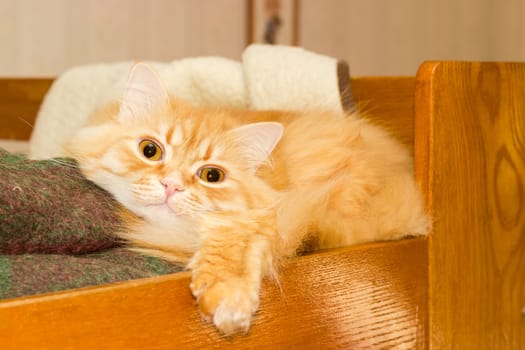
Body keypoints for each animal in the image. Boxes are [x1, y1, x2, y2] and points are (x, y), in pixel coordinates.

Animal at [63, 63, 428, 336]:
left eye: (211, 176)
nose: (172, 186)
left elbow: (230, 242)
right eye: (150, 150)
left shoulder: (272, 214)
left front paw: (228, 297)